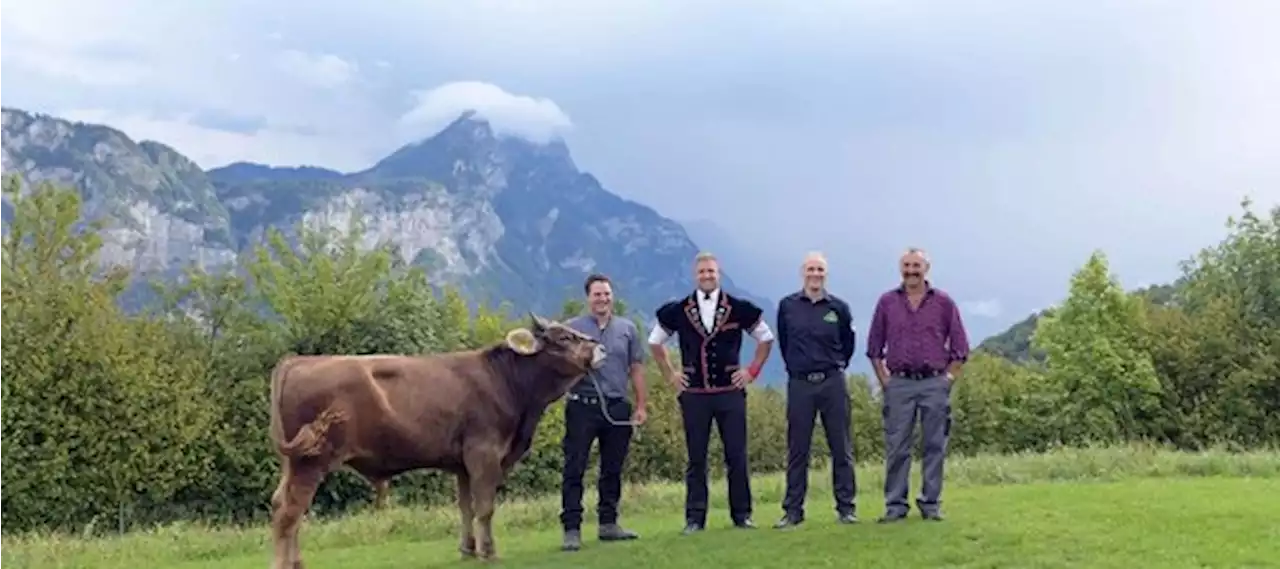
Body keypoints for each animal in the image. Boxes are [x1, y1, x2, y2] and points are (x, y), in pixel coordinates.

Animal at [268, 313, 604, 565]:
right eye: (564, 338)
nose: (600, 347)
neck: (507, 382)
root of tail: (296, 362)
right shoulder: (484, 452)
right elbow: (485, 506)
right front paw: (489, 552)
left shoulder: (462, 463)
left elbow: (466, 507)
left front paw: (469, 550)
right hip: (310, 461)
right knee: (290, 513)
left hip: (293, 462)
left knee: (282, 505)